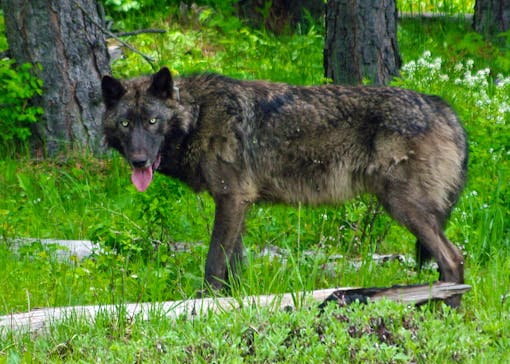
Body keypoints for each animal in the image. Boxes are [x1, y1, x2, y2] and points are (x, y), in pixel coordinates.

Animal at [101, 67, 468, 302]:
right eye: (125, 123)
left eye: (153, 121)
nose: (139, 161)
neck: (200, 117)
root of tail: (443, 106)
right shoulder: (238, 203)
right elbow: (234, 266)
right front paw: (228, 306)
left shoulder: (231, 199)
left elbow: (213, 263)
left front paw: (203, 303)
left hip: (403, 207)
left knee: (453, 260)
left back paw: (444, 318)